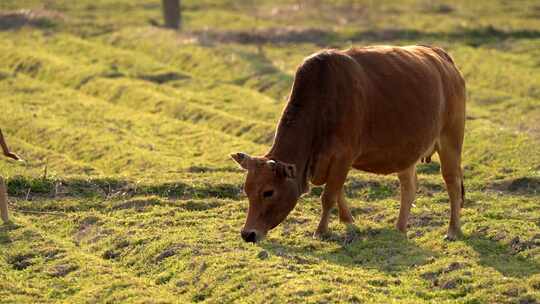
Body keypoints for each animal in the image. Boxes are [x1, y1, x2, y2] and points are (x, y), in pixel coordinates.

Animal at [230, 45, 466, 243]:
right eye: (246, 190)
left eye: (268, 192)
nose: (248, 234)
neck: (323, 99)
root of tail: (442, 57)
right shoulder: (332, 163)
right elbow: (338, 192)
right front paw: (348, 221)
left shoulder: (343, 156)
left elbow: (328, 196)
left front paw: (321, 230)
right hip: (407, 154)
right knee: (409, 188)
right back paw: (400, 228)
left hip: (451, 141)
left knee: (452, 184)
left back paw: (453, 230)